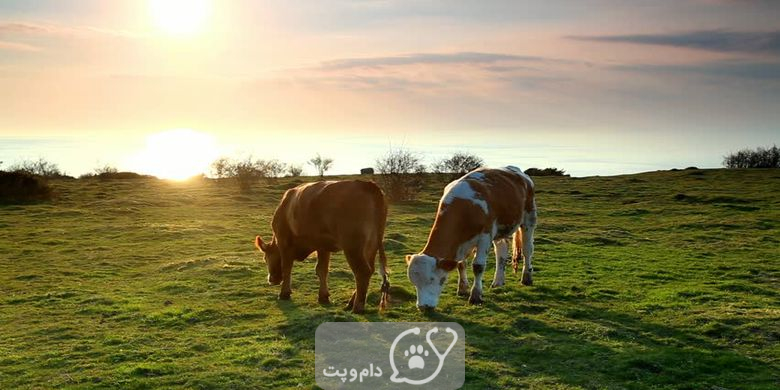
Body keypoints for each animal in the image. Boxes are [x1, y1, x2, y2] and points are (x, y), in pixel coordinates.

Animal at [256, 181, 390, 314]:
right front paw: (323, 296)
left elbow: (286, 268)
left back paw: (357, 307)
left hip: (353, 247)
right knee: (370, 270)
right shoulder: (323, 246)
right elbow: (321, 270)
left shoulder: (284, 241)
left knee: (362, 272)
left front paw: (284, 293)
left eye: (265, 259)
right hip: (370, 247)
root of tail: (368, 184)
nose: (271, 279)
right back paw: (351, 302)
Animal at [402, 167, 536, 310]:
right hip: (500, 230)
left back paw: (527, 278)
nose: (423, 307)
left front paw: (475, 296)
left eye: (433, 279)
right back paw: (498, 282)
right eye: (414, 282)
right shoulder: (461, 243)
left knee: (527, 249)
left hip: (529, 217)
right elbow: (461, 264)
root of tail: (518, 172)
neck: (465, 208)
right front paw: (462, 289)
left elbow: (478, 266)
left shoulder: (485, 235)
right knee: (501, 251)